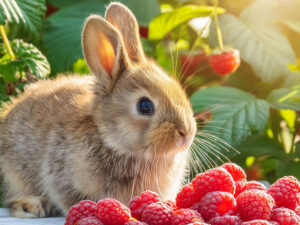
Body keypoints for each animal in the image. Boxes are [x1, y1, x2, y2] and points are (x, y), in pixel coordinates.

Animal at [0, 1, 197, 219]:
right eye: (145, 105)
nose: (186, 133)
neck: (110, 139)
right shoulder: (62, 178)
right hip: (12, 174)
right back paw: (33, 206)